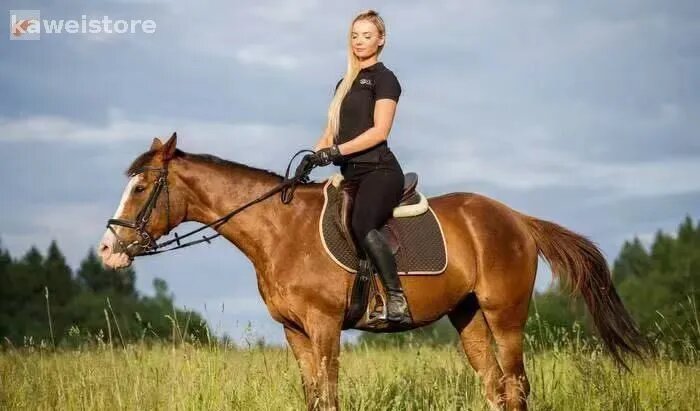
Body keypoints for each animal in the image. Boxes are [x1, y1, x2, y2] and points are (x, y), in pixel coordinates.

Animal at [98, 133, 649, 411]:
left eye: (142, 187)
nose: (108, 250)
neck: (279, 230)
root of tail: (517, 218)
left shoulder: (323, 326)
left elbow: (330, 398)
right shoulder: (295, 331)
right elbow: (313, 398)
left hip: (505, 315)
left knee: (516, 387)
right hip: (468, 317)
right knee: (495, 388)